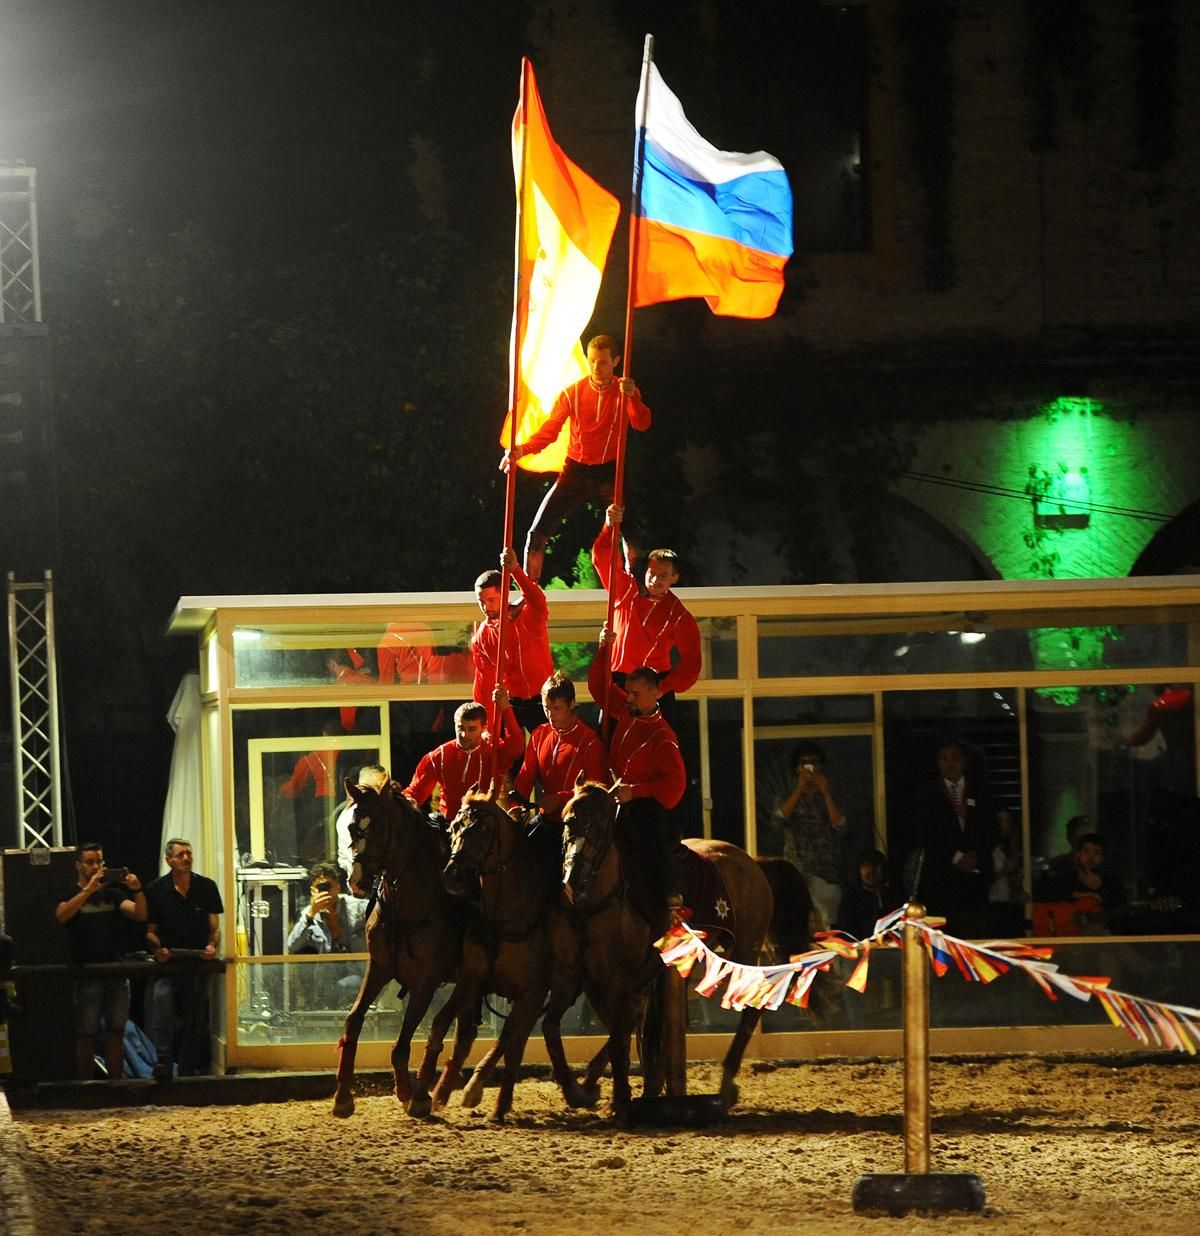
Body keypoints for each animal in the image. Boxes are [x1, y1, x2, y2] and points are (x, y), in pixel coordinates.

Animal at [333, 781, 479, 1122]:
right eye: (351, 826)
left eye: (381, 827)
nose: (357, 882)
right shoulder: (378, 969)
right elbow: (353, 1021)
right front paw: (343, 1096)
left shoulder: (426, 983)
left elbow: (402, 1044)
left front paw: (411, 1095)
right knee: (465, 1034)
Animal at [563, 781, 815, 1112]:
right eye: (568, 820)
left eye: (600, 824)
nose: (573, 877)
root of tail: (753, 863)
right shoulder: (597, 980)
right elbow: (624, 1026)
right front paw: (594, 1087)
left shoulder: (628, 978)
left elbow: (625, 1027)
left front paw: (619, 1094)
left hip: (744, 950)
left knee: (753, 1004)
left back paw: (726, 1083)